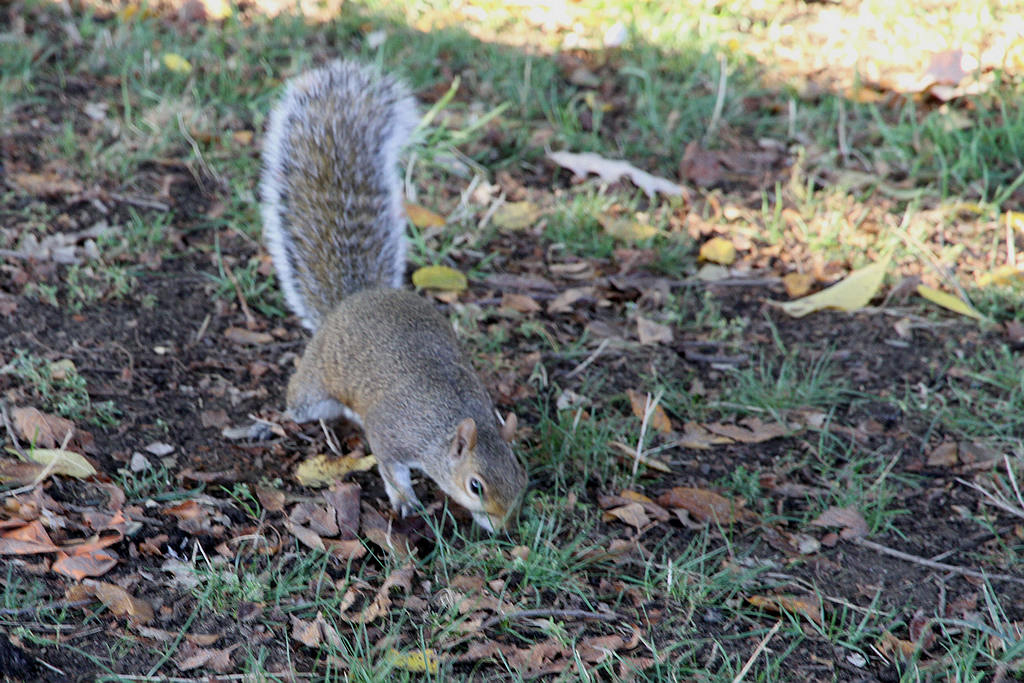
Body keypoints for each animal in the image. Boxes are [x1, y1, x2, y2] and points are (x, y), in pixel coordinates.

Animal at [262, 61, 528, 532]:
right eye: (475, 486)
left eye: (521, 474)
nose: (505, 529)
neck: (445, 424)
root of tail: (355, 299)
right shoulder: (391, 434)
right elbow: (389, 468)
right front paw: (405, 500)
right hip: (316, 383)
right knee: (297, 400)